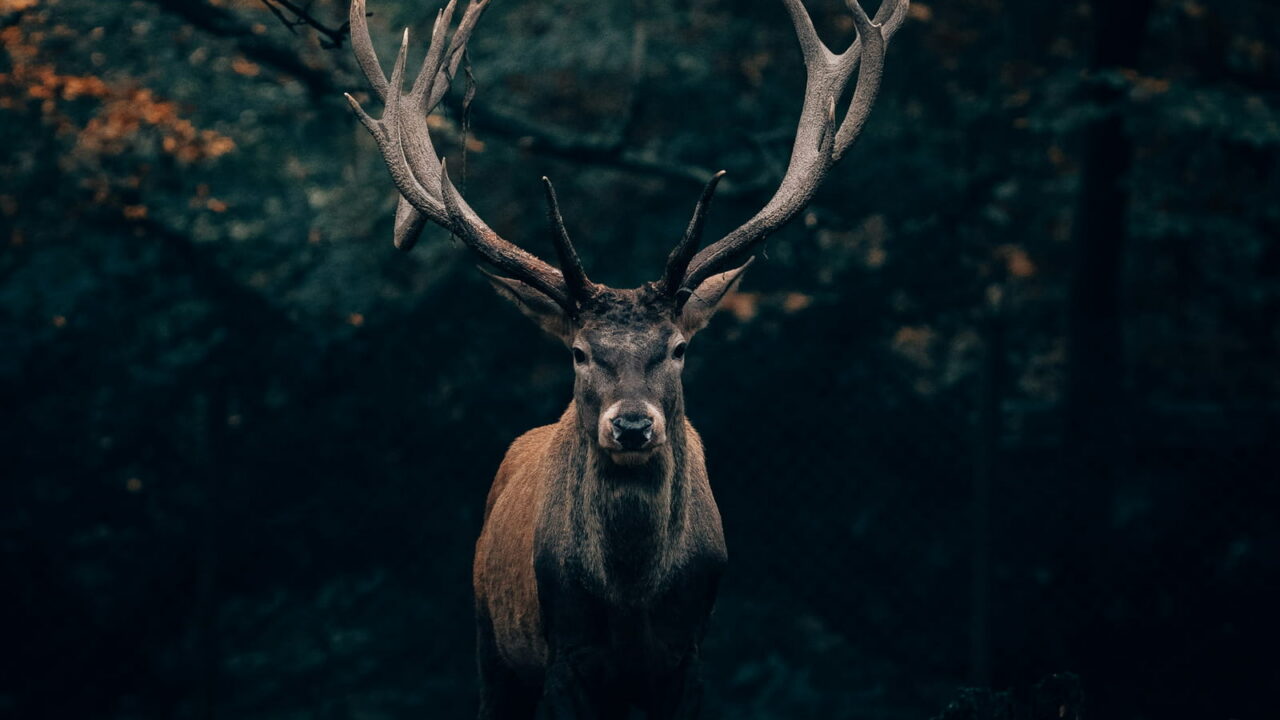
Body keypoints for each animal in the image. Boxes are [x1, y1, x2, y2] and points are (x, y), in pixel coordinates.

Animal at [343, 0, 908, 716]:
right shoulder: (564, 654)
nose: (633, 426)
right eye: (579, 352)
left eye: (679, 347)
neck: (634, 601)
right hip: (490, 641)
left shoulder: (689, 657)